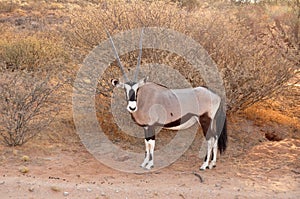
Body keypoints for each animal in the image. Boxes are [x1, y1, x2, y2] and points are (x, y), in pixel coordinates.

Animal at [109, 28, 226, 170]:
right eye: (125, 90)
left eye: (137, 89)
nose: (132, 107)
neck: (143, 99)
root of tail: (215, 95)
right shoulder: (145, 127)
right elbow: (146, 143)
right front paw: (144, 163)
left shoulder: (151, 125)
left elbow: (151, 143)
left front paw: (150, 164)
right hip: (211, 121)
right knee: (215, 137)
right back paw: (212, 163)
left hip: (205, 120)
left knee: (210, 139)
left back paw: (204, 165)